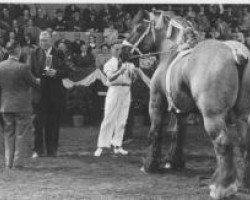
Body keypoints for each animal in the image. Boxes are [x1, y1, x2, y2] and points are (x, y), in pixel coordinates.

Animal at [121, 9, 250, 200]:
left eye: (138, 28)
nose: (121, 51)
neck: (171, 54)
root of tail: (235, 53)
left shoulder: (156, 104)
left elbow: (155, 132)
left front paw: (150, 165)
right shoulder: (181, 112)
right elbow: (179, 134)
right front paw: (174, 161)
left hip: (213, 116)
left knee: (223, 143)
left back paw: (221, 187)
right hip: (242, 115)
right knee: (243, 143)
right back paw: (242, 182)